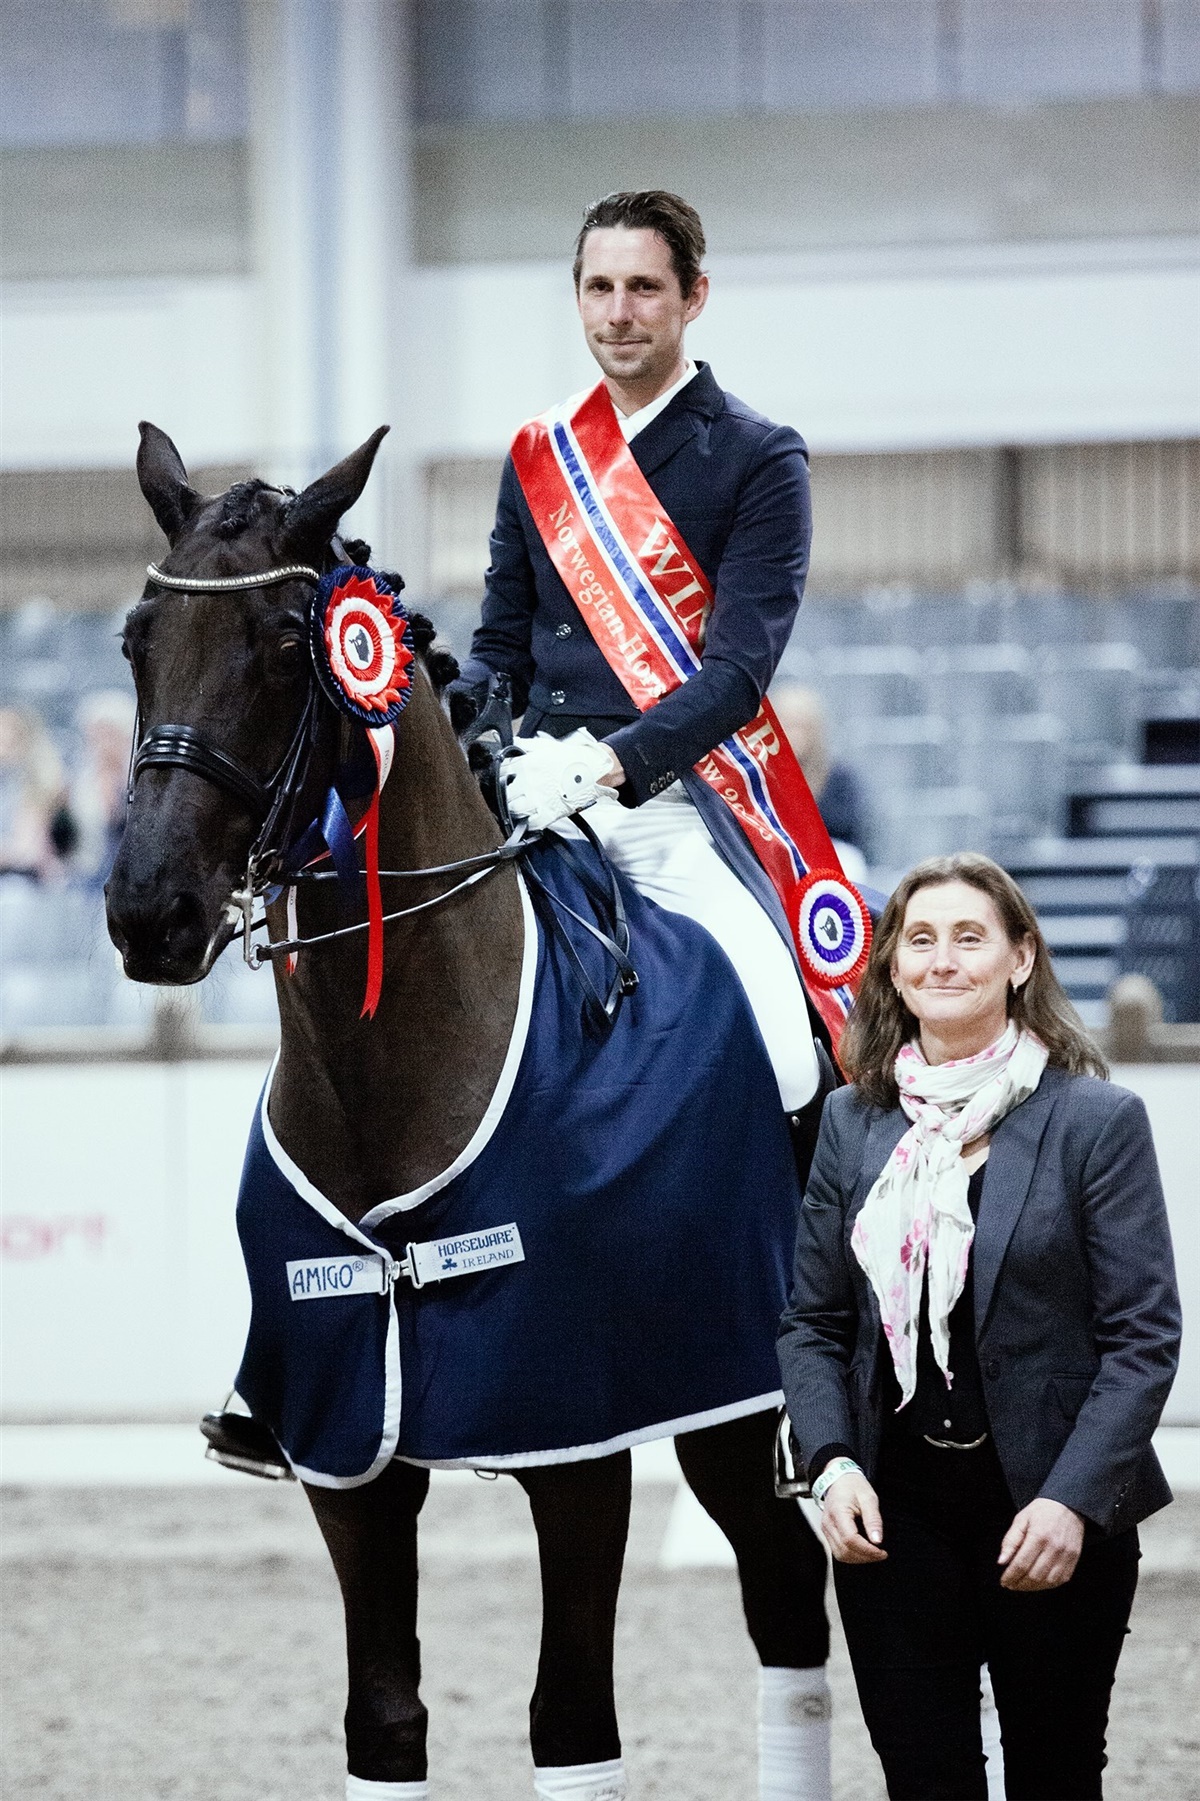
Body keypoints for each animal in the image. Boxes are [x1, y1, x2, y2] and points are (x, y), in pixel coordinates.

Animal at [105, 423, 830, 1797]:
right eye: (135, 640)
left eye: (283, 644)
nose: (147, 913)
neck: (396, 1066)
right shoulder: (350, 1446)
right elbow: (384, 1722)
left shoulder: (580, 1433)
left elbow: (572, 1724)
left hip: (738, 1393)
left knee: (789, 1597)